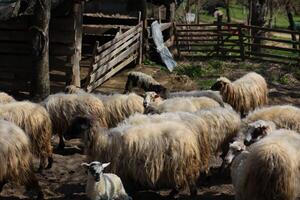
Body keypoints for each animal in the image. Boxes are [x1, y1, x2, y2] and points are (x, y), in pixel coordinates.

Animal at [65, 117, 206, 197]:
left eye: (77, 126)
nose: (64, 136)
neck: (103, 141)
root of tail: (190, 136)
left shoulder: (122, 167)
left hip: (180, 163)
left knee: (186, 180)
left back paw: (181, 193)